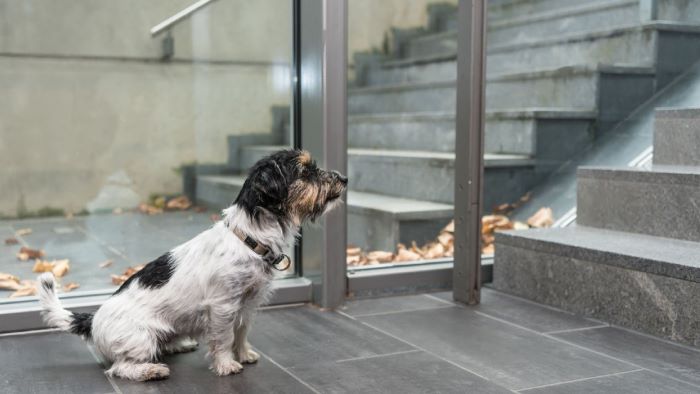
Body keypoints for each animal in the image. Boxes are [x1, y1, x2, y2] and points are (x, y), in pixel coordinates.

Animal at [36, 149, 348, 380]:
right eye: (305, 171)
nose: (344, 178)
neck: (249, 238)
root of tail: (92, 320)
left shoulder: (247, 306)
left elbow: (241, 333)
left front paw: (244, 354)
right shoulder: (223, 306)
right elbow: (223, 338)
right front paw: (226, 364)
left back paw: (179, 344)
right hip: (140, 339)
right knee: (120, 368)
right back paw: (151, 371)